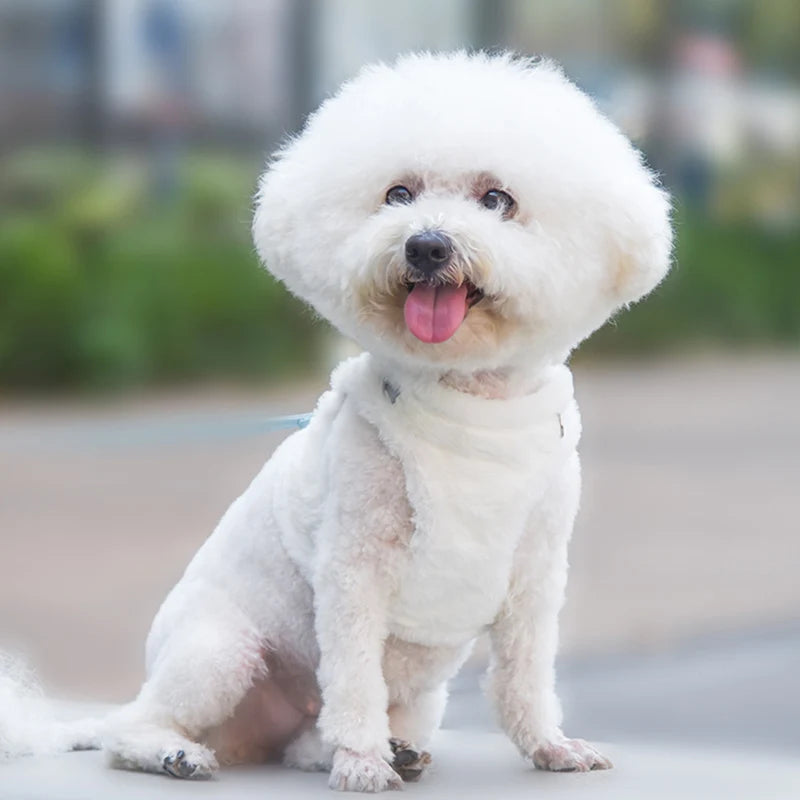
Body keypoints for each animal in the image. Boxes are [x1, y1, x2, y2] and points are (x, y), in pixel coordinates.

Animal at [97, 53, 672, 792]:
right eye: (398, 194)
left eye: (497, 200)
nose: (427, 246)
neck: (468, 399)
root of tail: (254, 735)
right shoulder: (354, 567)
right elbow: (354, 679)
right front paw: (363, 762)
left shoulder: (535, 573)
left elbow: (525, 676)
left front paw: (549, 745)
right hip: (219, 651)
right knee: (134, 724)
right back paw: (178, 751)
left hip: (412, 702)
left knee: (306, 741)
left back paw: (381, 749)